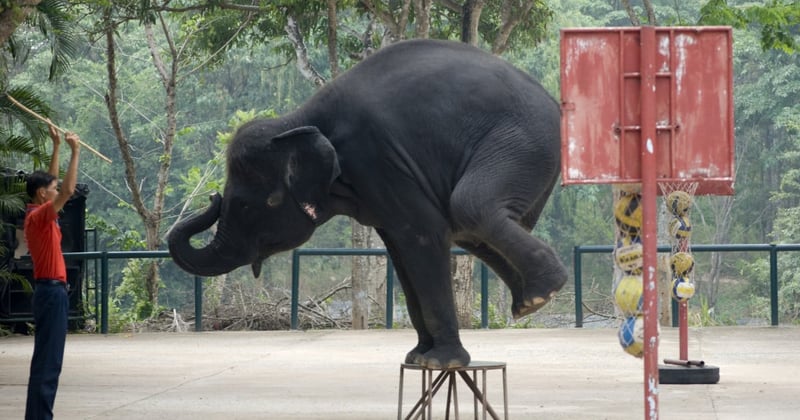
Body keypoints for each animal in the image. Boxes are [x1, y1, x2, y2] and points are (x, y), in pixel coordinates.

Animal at [167, 38, 568, 368]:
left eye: (247, 206)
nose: (211, 196)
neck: (298, 120)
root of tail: (554, 102)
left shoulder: (379, 158)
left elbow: (423, 235)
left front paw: (441, 363)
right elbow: (401, 250)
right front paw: (417, 357)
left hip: (521, 141)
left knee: (469, 206)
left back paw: (543, 294)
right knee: (470, 228)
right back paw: (528, 301)